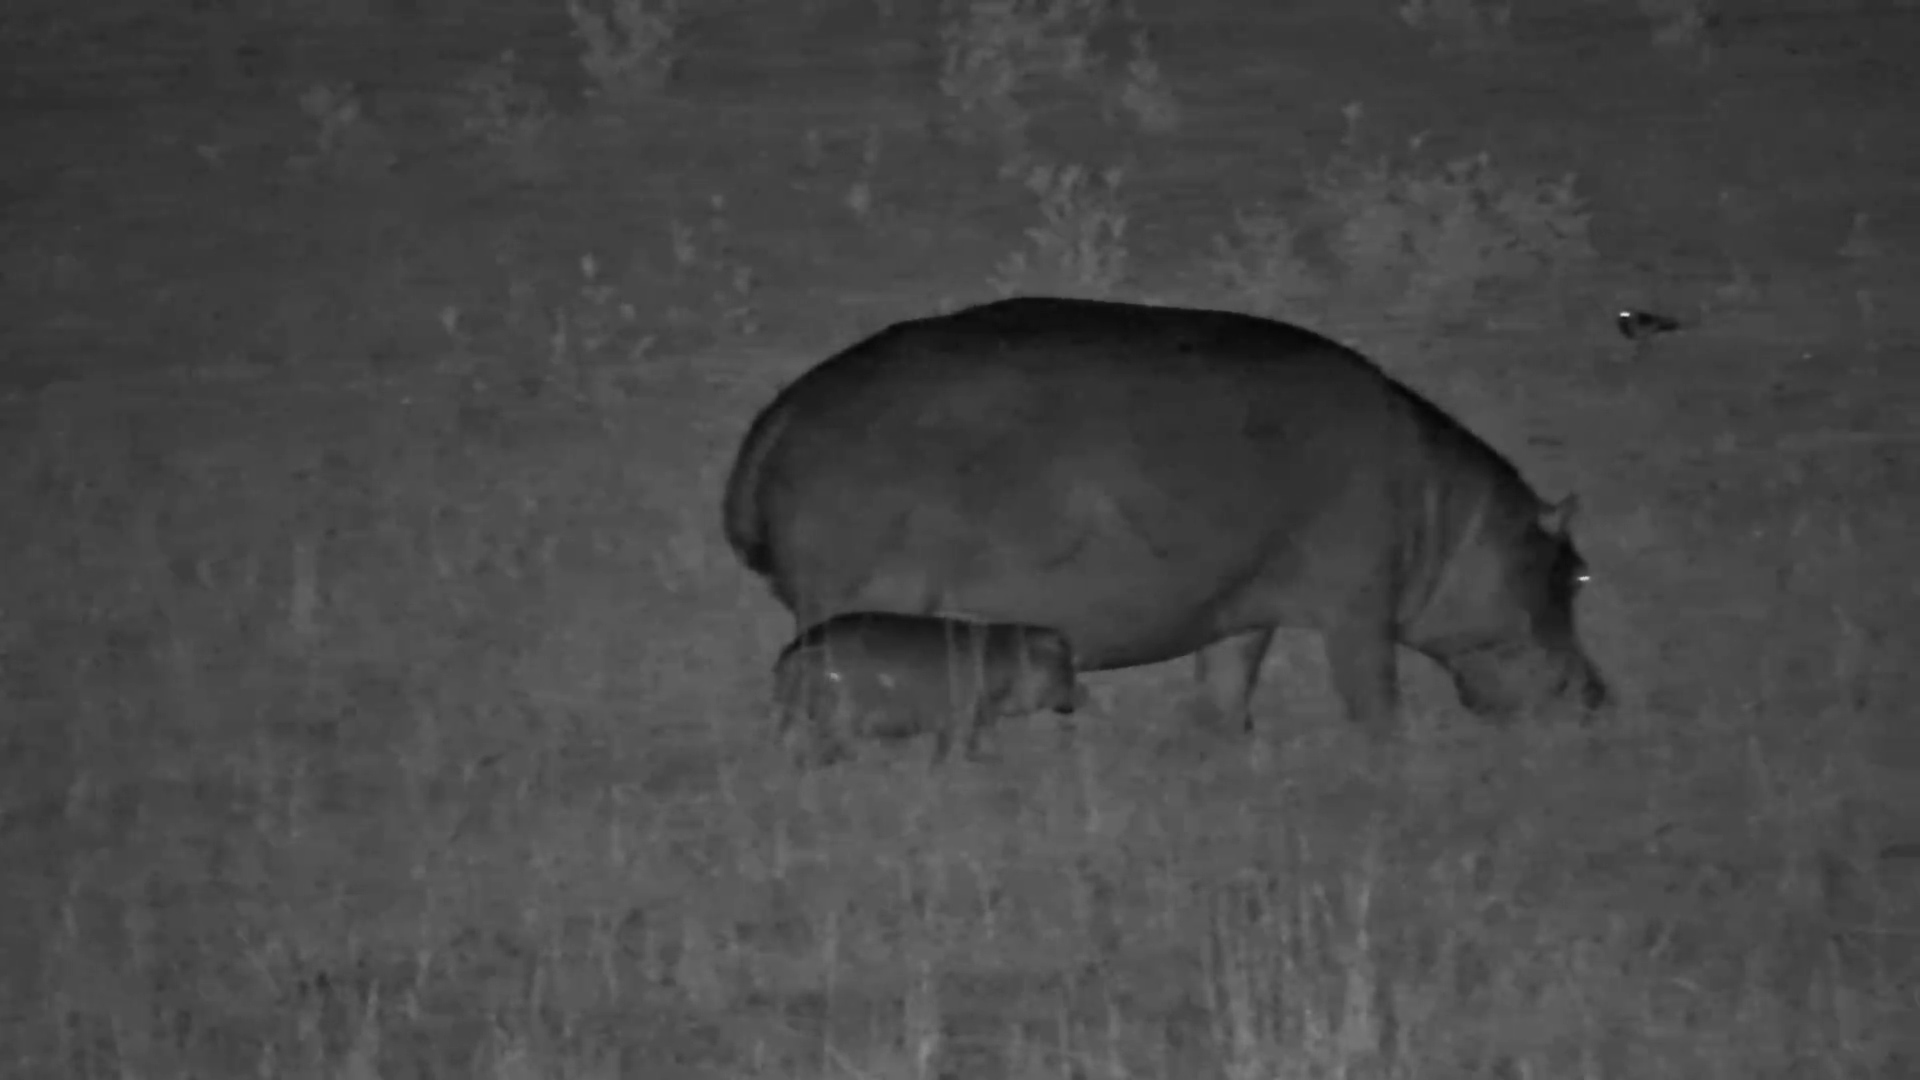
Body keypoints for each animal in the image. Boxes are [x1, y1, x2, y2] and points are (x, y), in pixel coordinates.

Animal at [724, 297, 1609, 737]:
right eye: (1576, 575)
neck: (1451, 520)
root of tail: (781, 414)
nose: (1600, 699)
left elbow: (1226, 684)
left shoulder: (1244, 604)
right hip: (862, 599)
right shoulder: (1361, 606)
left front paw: (1224, 741)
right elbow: (1372, 694)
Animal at [771, 611, 1082, 767]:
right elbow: (960, 750)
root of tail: (795, 649)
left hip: (803, 712)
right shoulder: (964, 718)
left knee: (793, 739)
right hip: (839, 714)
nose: (1084, 693)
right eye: (1065, 662)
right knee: (836, 745)